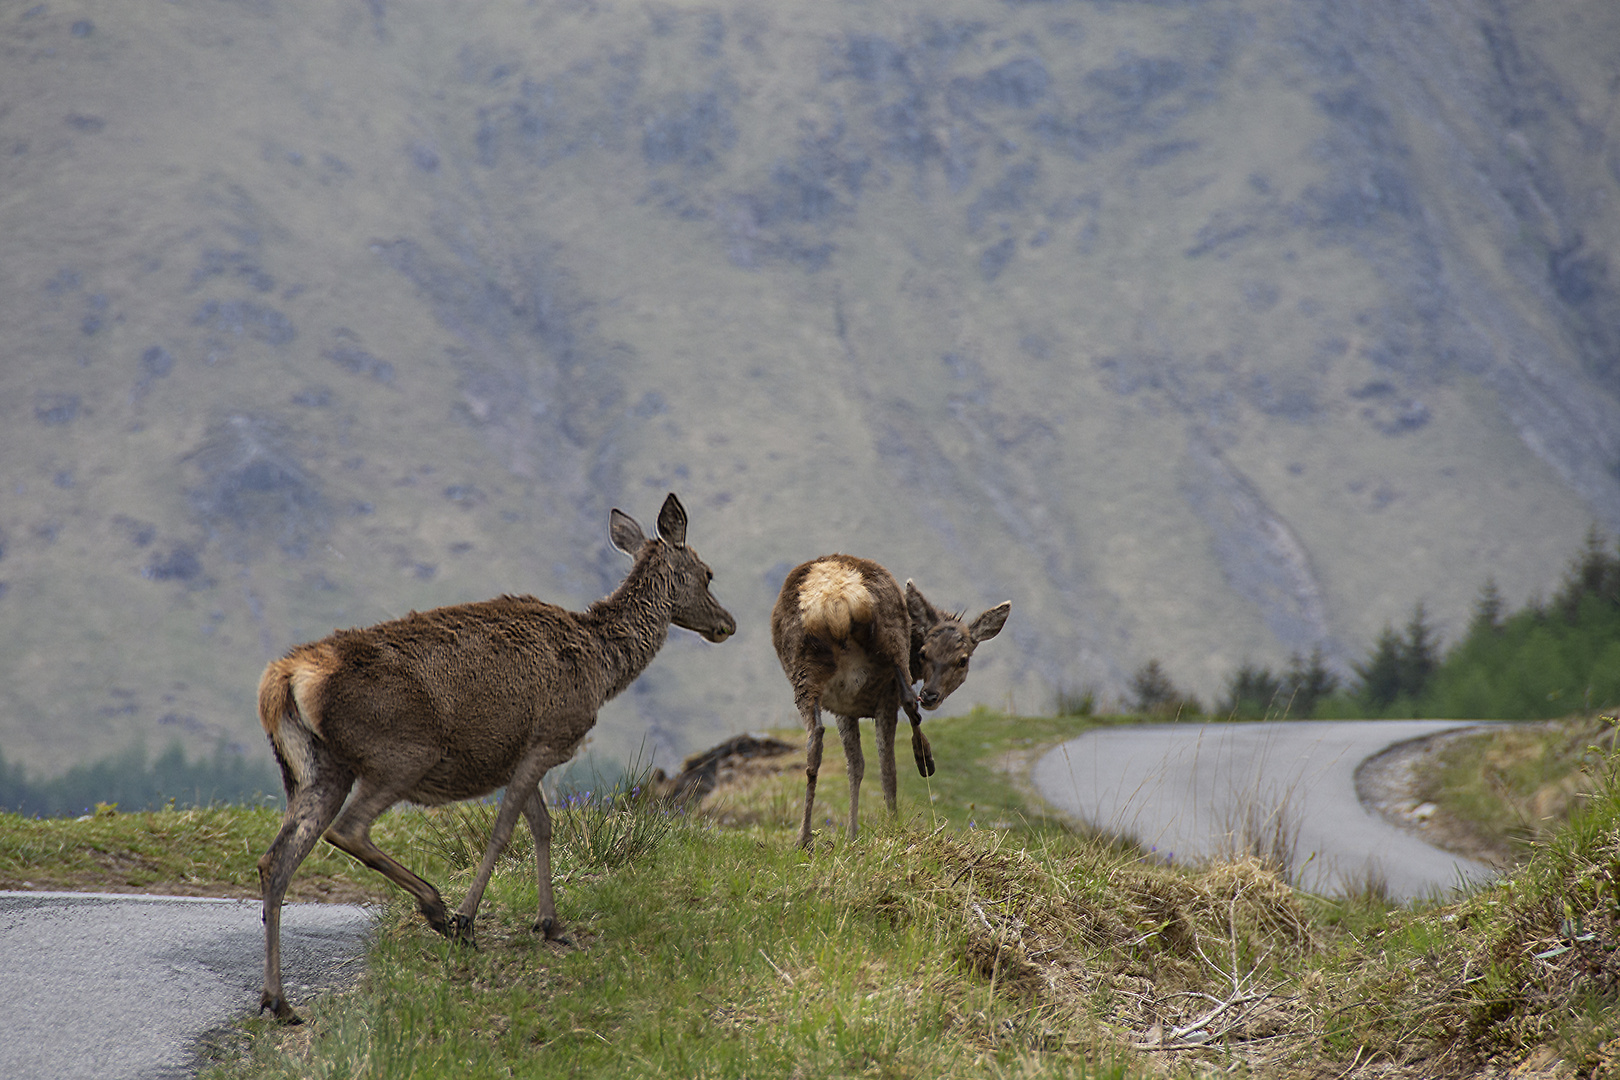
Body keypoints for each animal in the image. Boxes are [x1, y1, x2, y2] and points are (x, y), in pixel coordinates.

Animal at [254, 492, 735, 1023]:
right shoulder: (549, 735)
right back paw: (436, 907)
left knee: (276, 860)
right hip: (400, 752)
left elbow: (542, 826)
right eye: (708, 573)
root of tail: (285, 678)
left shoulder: (521, 754)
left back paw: (278, 1000)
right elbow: (505, 829)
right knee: (348, 829)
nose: (728, 624)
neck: (601, 667)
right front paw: (469, 919)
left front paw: (550, 923)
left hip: (315, 769)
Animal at [771, 557, 1010, 854]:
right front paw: (862, 831)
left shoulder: (843, 706)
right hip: (891, 645)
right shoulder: (872, 699)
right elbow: (873, 762)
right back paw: (918, 773)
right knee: (904, 716)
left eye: (961, 659)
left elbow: (855, 766)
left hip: (804, 672)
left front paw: (851, 834)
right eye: (923, 653)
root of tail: (836, 599)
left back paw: (804, 839)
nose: (931, 695)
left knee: (814, 738)